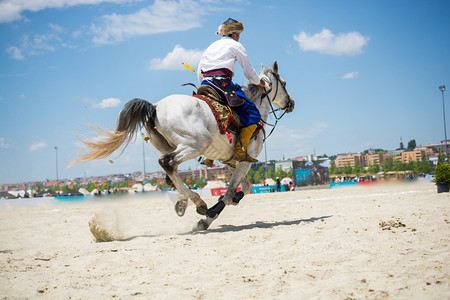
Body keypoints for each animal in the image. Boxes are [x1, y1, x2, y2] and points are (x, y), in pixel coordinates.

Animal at [71, 61, 292, 230]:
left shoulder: (232, 162)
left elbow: (244, 187)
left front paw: (229, 201)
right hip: (196, 144)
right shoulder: (245, 162)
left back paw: (185, 201)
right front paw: (209, 216)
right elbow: (230, 191)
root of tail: (155, 107)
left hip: (175, 146)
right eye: (284, 83)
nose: (291, 103)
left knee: (171, 172)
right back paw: (198, 202)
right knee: (167, 163)